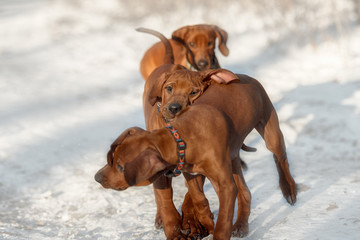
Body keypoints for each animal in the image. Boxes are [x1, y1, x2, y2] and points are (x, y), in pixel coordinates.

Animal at [94, 66, 296, 239]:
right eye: (111, 160)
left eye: (120, 166)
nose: (97, 177)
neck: (181, 136)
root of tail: (244, 76)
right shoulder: (190, 172)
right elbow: (196, 199)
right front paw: (203, 221)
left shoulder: (224, 184)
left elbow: (222, 218)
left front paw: (210, 228)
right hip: (233, 155)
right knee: (244, 190)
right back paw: (240, 224)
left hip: (270, 130)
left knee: (280, 157)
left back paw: (289, 189)